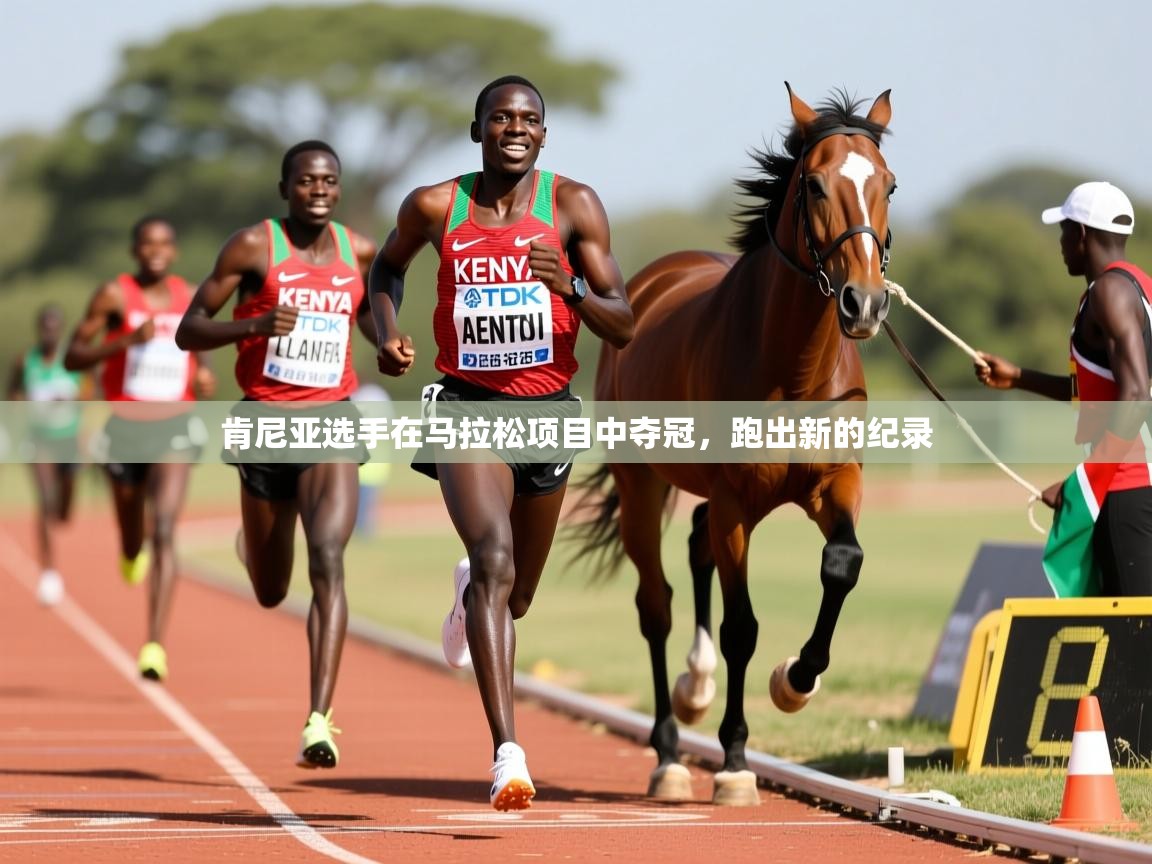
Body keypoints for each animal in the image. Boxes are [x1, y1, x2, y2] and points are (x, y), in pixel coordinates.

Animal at [570, 83, 895, 806]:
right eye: (814, 185)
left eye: (888, 184)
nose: (864, 303)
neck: (793, 372)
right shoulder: (735, 506)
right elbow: (741, 627)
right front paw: (737, 761)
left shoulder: (834, 483)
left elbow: (844, 563)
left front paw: (797, 679)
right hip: (644, 486)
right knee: (657, 604)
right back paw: (669, 754)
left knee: (696, 549)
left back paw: (696, 686)